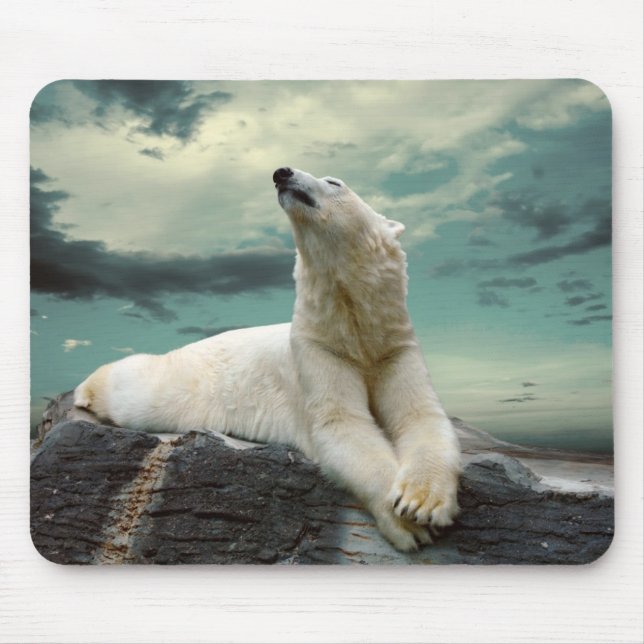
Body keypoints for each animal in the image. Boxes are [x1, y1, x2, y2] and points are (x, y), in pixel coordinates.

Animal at [74, 167, 461, 552]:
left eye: (334, 182)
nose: (281, 173)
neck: (353, 328)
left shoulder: (394, 347)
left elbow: (420, 416)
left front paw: (421, 502)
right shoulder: (317, 350)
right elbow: (342, 424)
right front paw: (407, 523)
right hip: (181, 381)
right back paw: (85, 390)